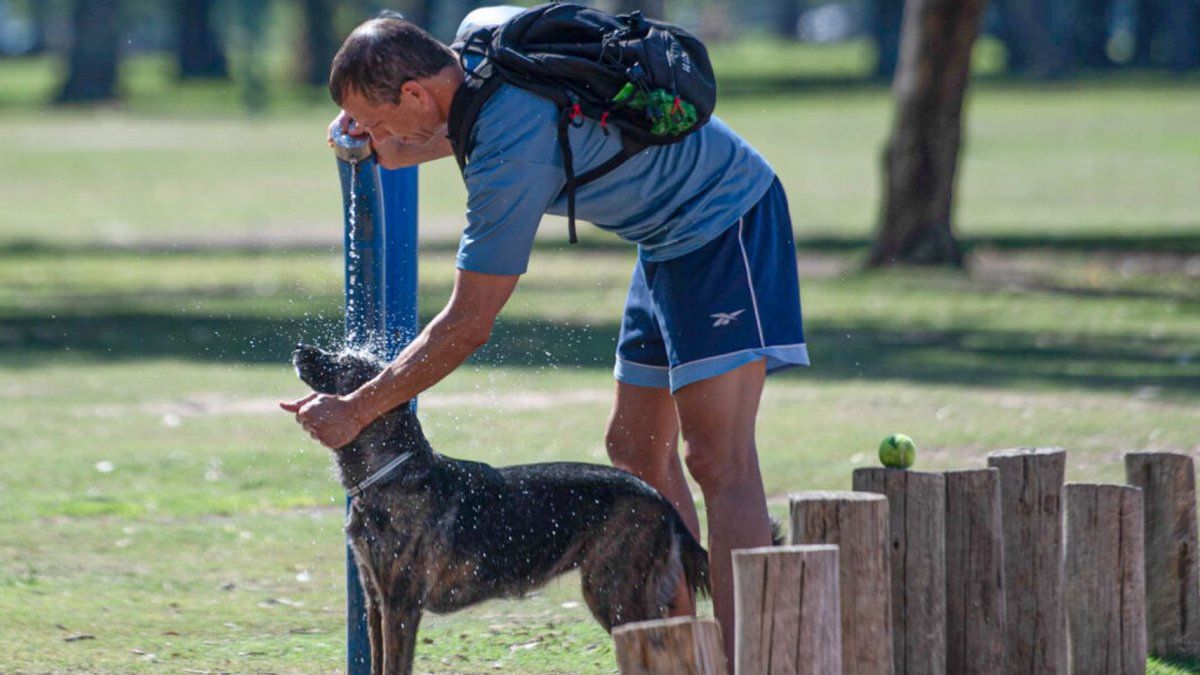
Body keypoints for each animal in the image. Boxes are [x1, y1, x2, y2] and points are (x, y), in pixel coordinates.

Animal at [291, 343, 705, 667]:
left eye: (344, 363)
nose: (299, 348)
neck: (393, 471)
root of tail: (661, 500)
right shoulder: (375, 601)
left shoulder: (401, 605)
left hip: (613, 593)